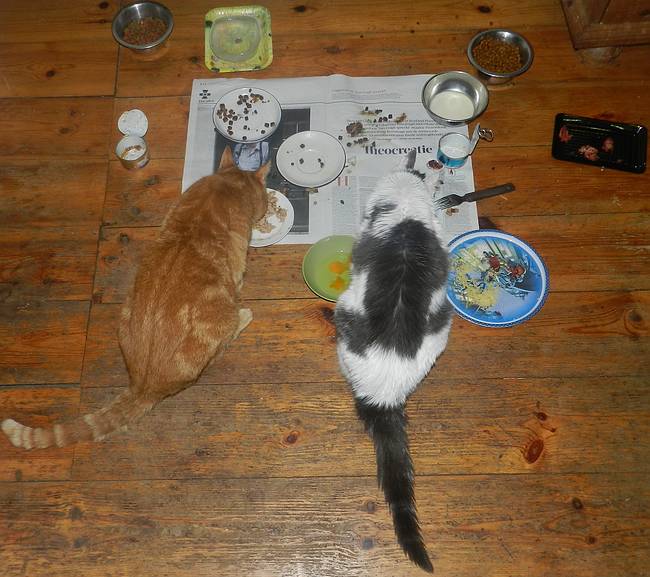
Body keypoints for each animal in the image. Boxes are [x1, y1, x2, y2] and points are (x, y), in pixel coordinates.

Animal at [2, 146, 268, 450]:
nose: (268, 204)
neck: (224, 187)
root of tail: (142, 386)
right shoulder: (236, 266)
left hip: (126, 311)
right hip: (220, 322)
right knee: (224, 340)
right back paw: (243, 315)